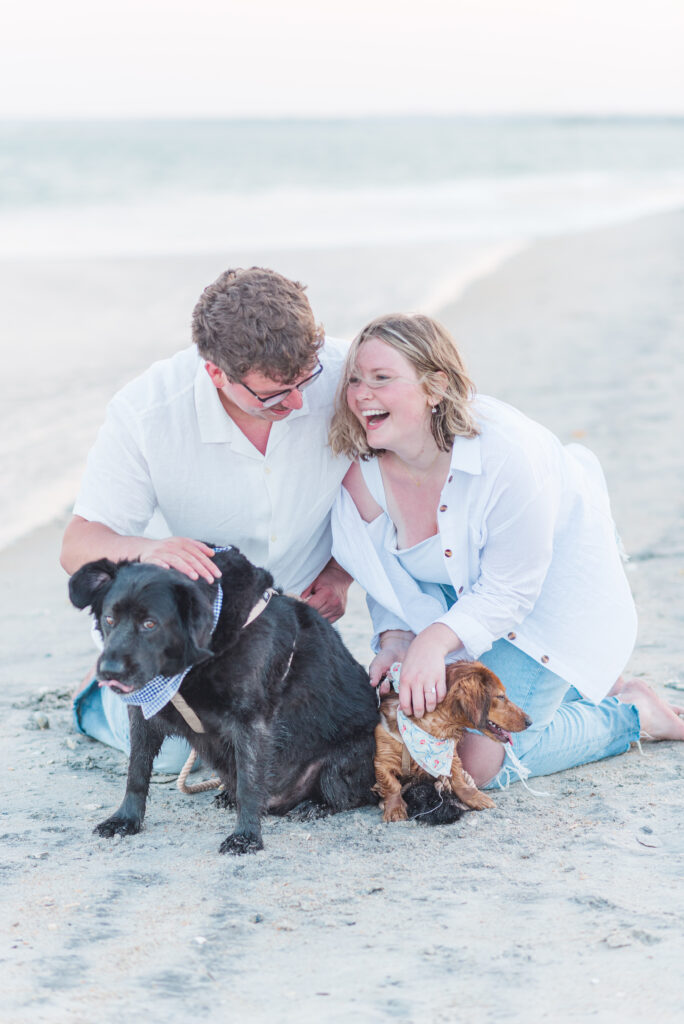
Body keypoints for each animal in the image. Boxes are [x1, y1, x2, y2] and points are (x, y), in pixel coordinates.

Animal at [68, 548, 378, 851]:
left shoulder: (251, 723)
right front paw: (125, 819)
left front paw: (246, 836)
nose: (109, 672)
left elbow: (249, 785)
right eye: (109, 620)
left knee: (350, 796)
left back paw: (314, 805)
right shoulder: (142, 717)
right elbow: (135, 773)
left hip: (344, 761)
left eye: (149, 624)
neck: (194, 661)